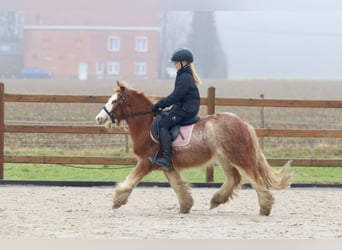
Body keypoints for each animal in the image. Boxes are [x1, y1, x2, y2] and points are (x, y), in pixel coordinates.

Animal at [95, 81, 292, 216]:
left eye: (114, 101)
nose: (99, 118)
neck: (147, 124)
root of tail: (243, 123)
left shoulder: (146, 162)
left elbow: (130, 181)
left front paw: (117, 200)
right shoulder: (166, 165)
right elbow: (178, 185)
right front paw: (186, 206)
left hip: (239, 157)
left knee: (256, 179)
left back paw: (265, 208)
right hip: (223, 158)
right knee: (234, 178)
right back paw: (216, 200)